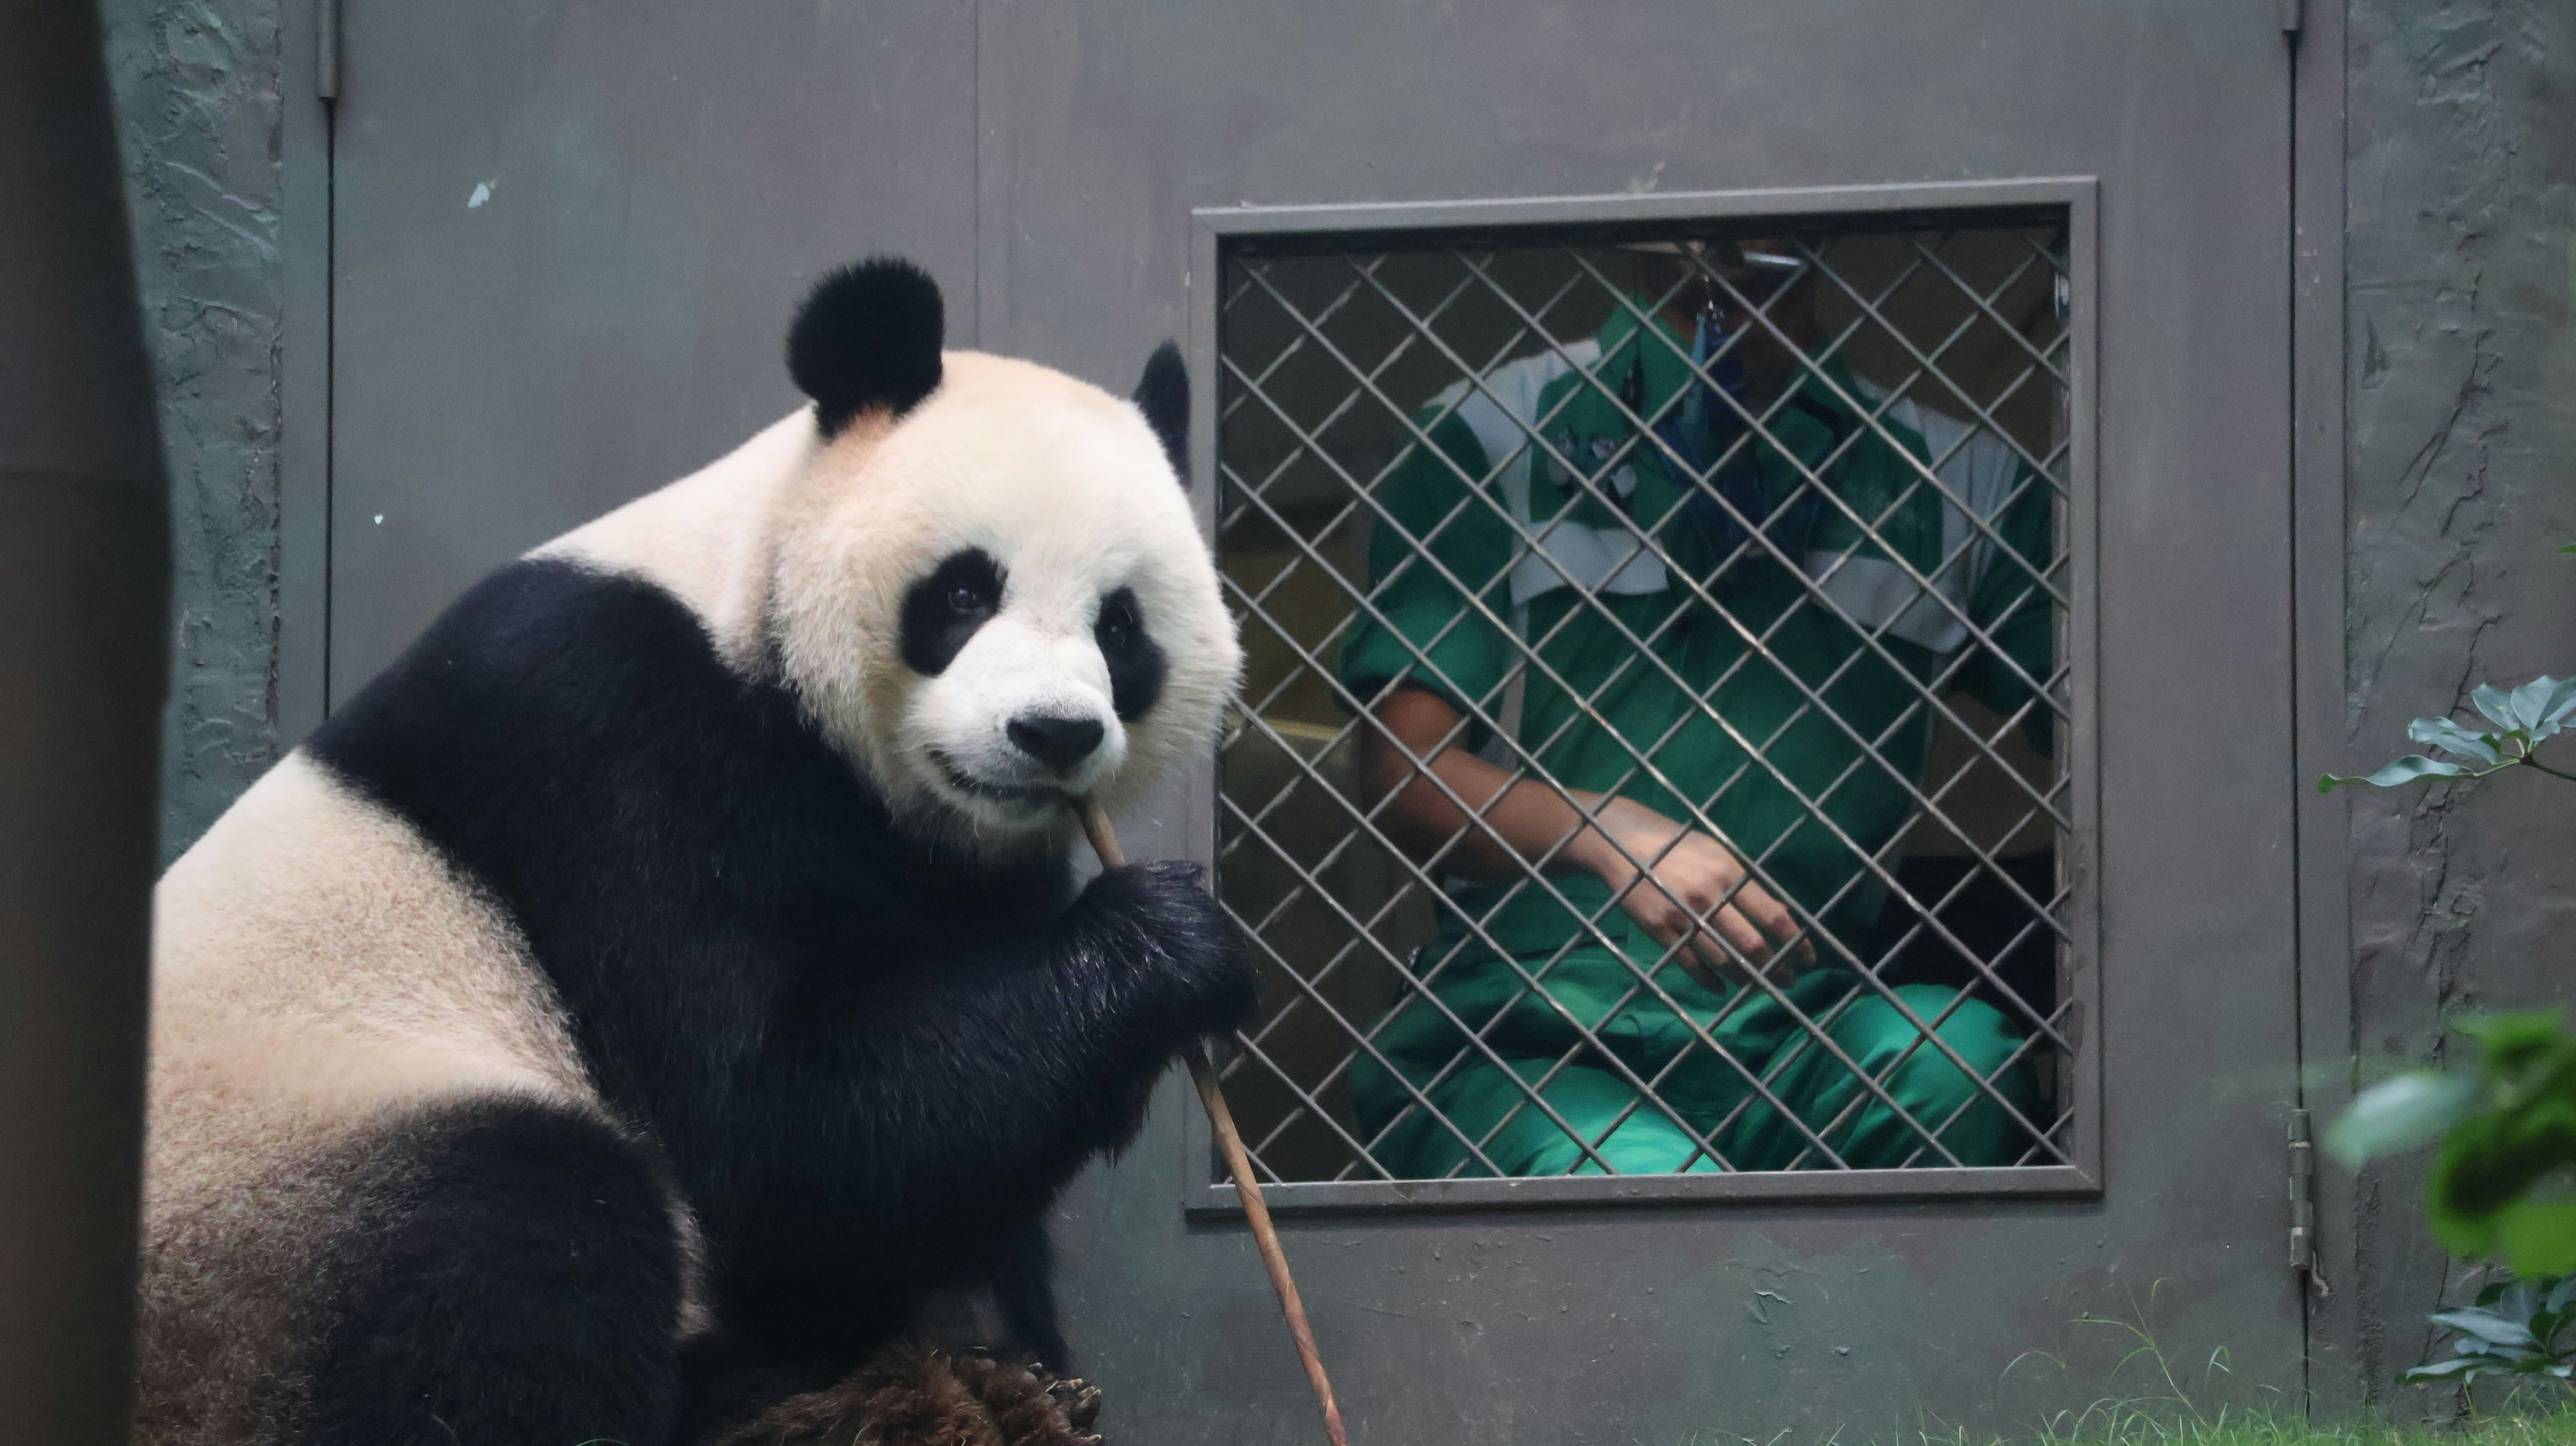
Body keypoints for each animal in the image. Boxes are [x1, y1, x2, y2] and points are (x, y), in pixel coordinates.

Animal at [138, 259, 1257, 1443]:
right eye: (964, 591)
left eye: (1121, 626)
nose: (1053, 734)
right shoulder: (614, 738)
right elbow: (771, 1130)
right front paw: (1168, 944)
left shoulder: (973, 871)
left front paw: (1009, 1365)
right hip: (273, 1188)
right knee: (519, 1241)